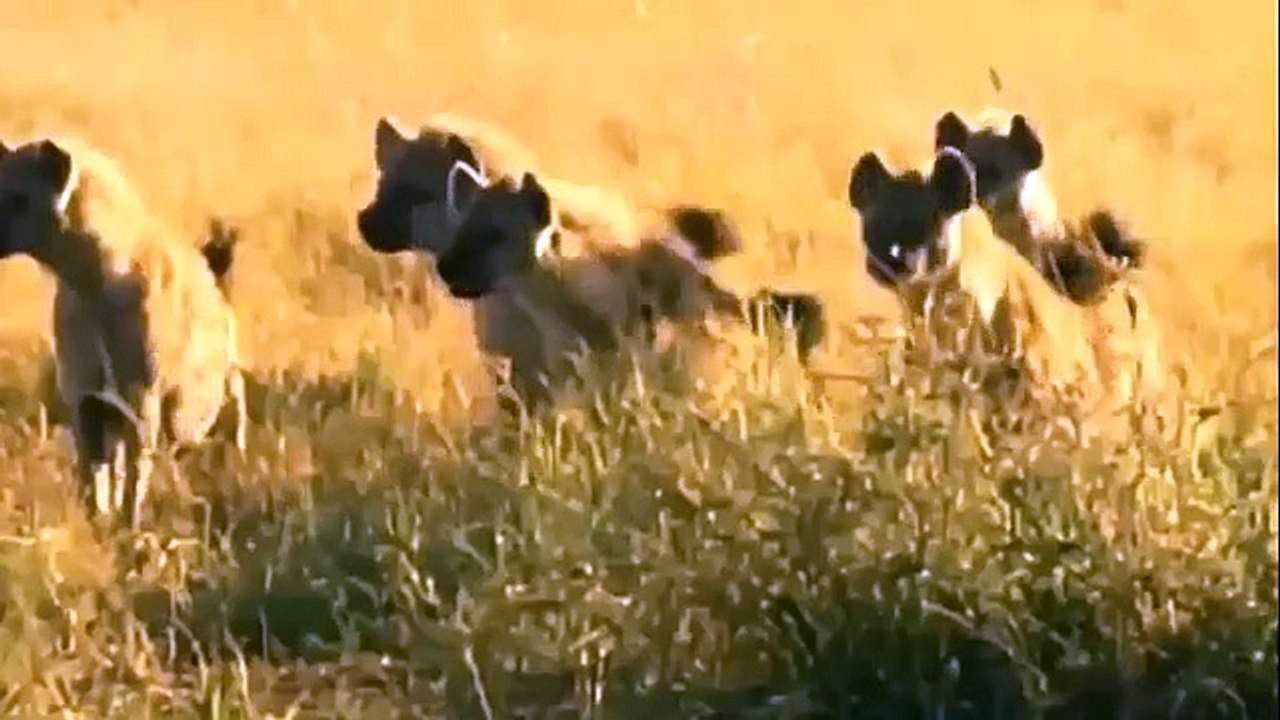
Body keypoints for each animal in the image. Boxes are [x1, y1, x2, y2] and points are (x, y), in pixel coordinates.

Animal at [0, 135, 247, 528]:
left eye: (18, 197)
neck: (90, 283)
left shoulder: (140, 401)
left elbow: (134, 477)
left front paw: (129, 530)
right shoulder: (86, 399)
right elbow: (93, 476)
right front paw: (96, 526)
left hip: (219, 400)